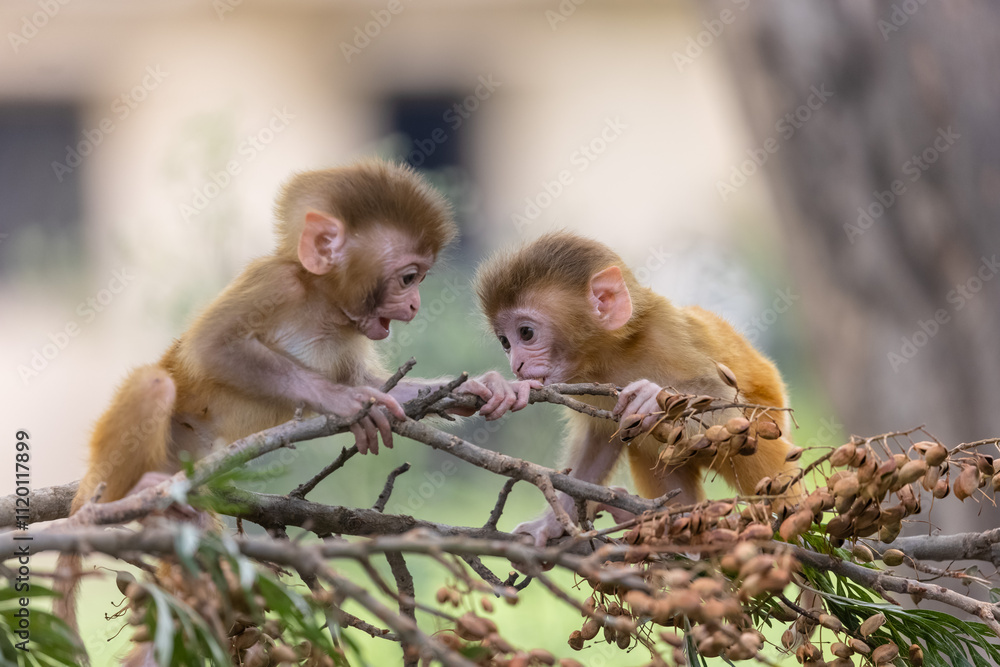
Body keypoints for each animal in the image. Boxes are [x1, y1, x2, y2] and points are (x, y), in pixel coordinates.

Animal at [55, 159, 536, 632]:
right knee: (155, 384)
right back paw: (122, 502)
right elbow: (212, 345)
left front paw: (484, 386)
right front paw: (344, 404)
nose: (416, 304)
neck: (322, 307)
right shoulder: (275, 282)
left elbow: (377, 383)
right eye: (409, 278)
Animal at [473, 231, 799, 546]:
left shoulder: (667, 336)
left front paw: (652, 398)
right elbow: (599, 439)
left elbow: (730, 411)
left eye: (526, 333)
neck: (609, 356)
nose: (516, 364)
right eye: (505, 342)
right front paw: (551, 523)